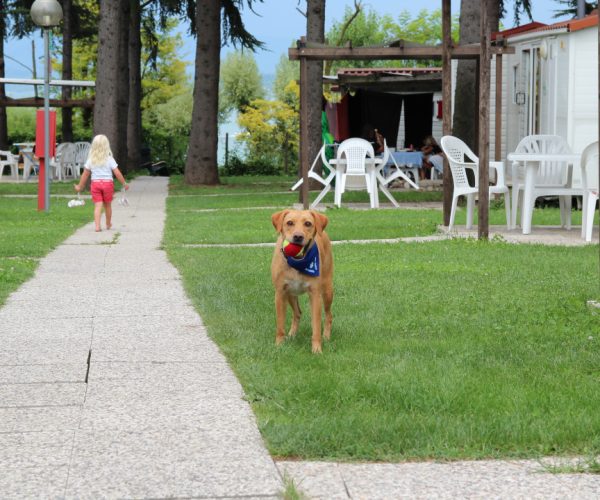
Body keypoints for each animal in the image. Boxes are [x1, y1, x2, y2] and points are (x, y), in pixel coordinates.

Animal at [270, 209, 332, 354]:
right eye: (289, 223)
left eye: (308, 223)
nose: (298, 236)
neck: (297, 263)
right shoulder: (280, 293)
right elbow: (280, 323)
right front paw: (279, 344)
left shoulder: (315, 295)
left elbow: (316, 326)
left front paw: (317, 349)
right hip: (290, 294)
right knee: (297, 312)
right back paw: (292, 334)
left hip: (327, 290)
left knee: (329, 315)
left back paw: (326, 336)